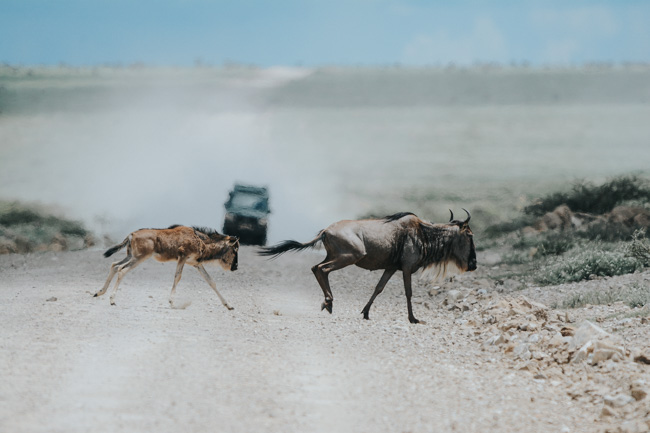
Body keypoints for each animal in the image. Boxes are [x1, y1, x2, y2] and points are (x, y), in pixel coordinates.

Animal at [95, 224, 239, 308]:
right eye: (234, 249)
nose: (235, 267)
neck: (201, 240)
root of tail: (131, 235)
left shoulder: (196, 264)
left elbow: (211, 281)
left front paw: (228, 304)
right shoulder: (182, 257)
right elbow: (177, 277)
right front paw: (172, 302)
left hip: (131, 256)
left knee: (114, 265)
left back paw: (99, 292)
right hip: (139, 257)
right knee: (122, 269)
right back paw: (112, 299)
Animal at [258, 211, 476, 322]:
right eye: (469, 235)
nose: (474, 264)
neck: (424, 234)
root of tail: (325, 231)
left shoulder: (391, 268)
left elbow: (378, 288)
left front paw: (366, 312)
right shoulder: (406, 268)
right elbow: (409, 292)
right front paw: (413, 318)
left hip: (335, 256)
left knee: (315, 267)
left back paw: (328, 303)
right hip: (350, 256)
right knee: (322, 269)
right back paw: (328, 302)